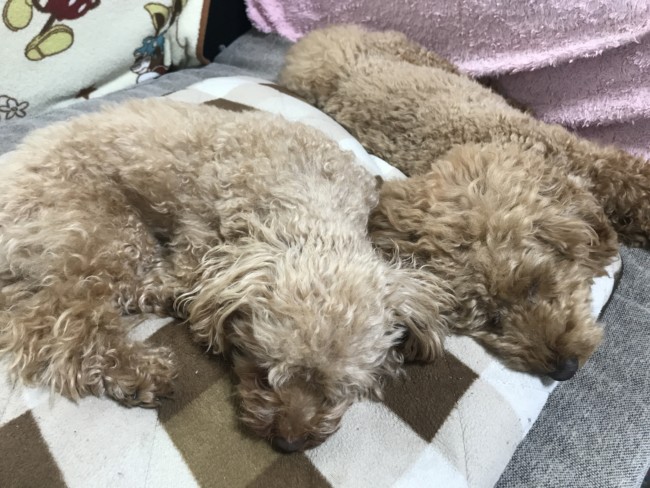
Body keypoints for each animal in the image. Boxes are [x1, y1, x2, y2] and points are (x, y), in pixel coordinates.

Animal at [0, 99, 452, 451]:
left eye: (337, 393)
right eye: (263, 376)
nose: (288, 444)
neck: (307, 195)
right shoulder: (197, 228)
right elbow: (181, 279)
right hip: (98, 224)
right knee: (57, 322)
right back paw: (139, 371)